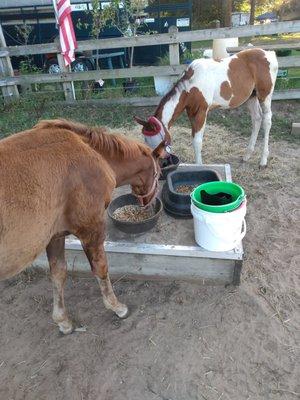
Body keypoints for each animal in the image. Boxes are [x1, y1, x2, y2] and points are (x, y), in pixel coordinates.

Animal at [0, 119, 164, 334]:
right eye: (158, 174)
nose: (149, 204)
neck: (95, 155)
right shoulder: (91, 230)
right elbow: (101, 268)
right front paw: (117, 307)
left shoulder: (55, 235)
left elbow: (58, 273)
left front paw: (62, 320)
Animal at [135, 48, 278, 167]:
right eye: (146, 141)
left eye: (159, 142)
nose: (162, 163)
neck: (191, 86)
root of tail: (269, 53)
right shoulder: (191, 113)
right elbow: (194, 138)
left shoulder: (201, 112)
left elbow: (197, 142)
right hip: (251, 97)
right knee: (257, 119)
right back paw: (247, 155)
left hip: (264, 96)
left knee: (267, 120)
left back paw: (263, 161)